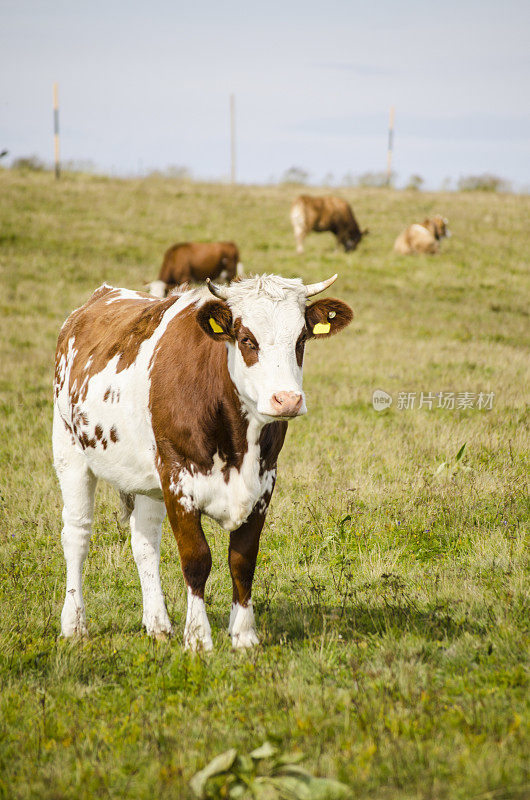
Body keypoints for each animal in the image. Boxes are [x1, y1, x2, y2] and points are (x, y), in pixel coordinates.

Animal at [52, 272, 350, 648]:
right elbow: (196, 559)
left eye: (301, 339)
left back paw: (158, 623)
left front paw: (243, 635)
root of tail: (101, 296)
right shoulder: (178, 479)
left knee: (145, 541)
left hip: (147, 478)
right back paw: (74, 624)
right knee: (77, 534)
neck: (238, 444)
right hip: (69, 449)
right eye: (247, 339)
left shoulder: (264, 482)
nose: (287, 400)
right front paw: (197, 637)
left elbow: (242, 560)